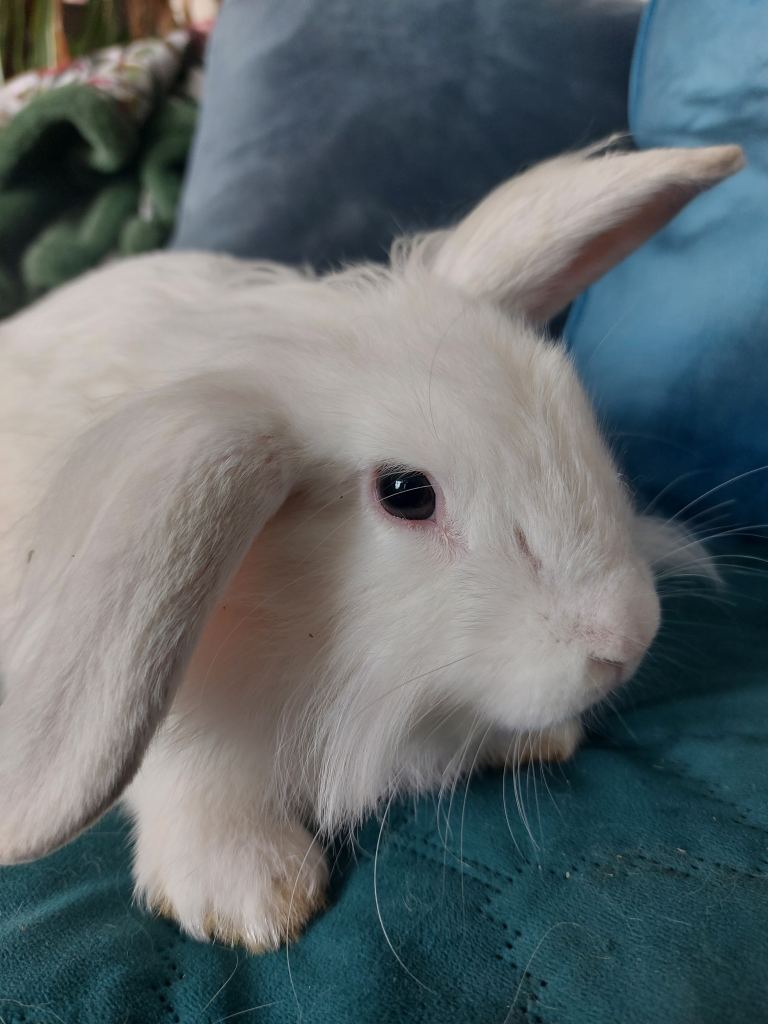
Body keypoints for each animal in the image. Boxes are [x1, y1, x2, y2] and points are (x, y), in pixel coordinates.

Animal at [0, 139, 743, 952]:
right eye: (405, 493)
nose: (628, 638)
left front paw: (542, 738)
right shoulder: (183, 726)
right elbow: (189, 783)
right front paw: (250, 897)